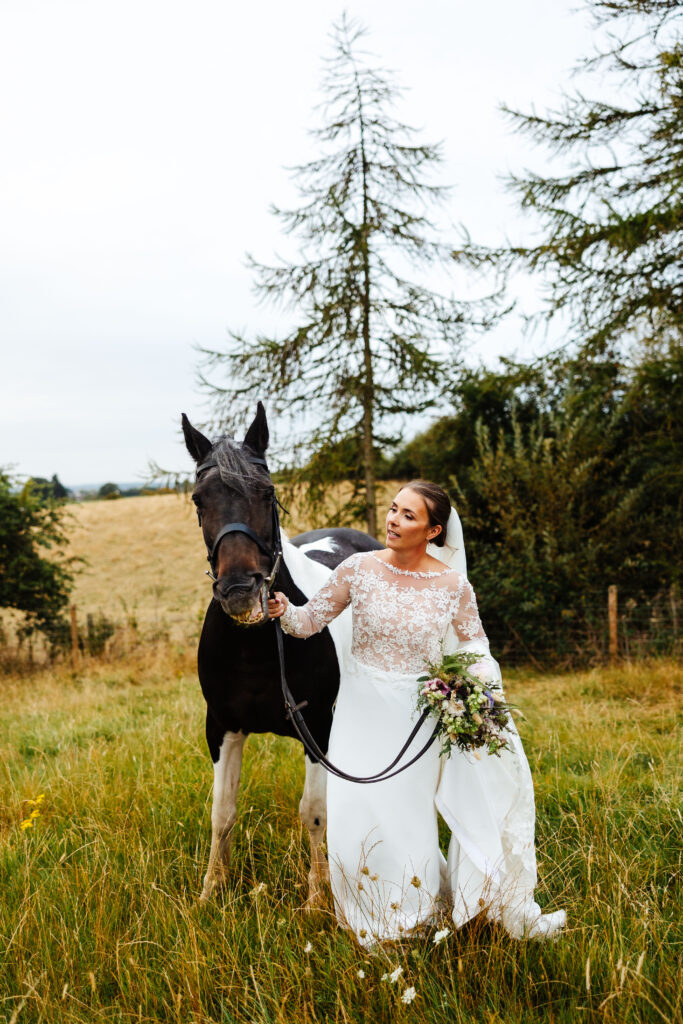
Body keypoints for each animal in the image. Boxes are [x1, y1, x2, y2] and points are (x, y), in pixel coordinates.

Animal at [181, 405, 385, 905]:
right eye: (198, 500)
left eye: (268, 492)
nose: (240, 591)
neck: (256, 647)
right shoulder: (222, 727)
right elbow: (222, 811)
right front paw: (210, 892)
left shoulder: (318, 727)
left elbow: (314, 811)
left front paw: (316, 899)